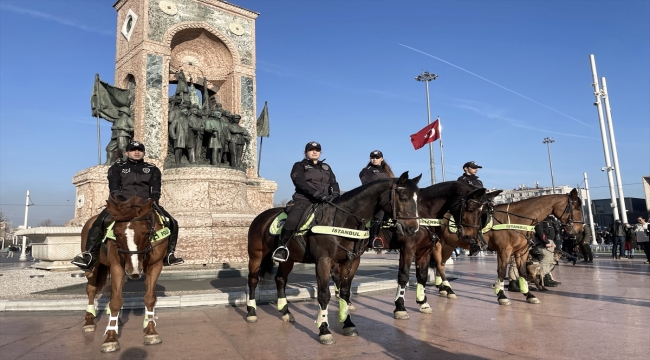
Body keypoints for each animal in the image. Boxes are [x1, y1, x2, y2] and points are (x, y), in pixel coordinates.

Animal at [80, 195, 170, 352]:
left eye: (146, 233)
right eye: (116, 233)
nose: (133, 270)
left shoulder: (155, 266)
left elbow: (149, 298)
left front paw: (150, 331)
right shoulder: (117, 266)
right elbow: (115, 301)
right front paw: (110, 338)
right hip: (94, 266)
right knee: (91, 289)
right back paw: (89, 321)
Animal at [244, 173, 420, 344]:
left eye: (417, 199)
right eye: (403, 197)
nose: (413, 228)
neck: (344, 220)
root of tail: (262, 215)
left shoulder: (351, 261)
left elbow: (345, 293)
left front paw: (348, 323)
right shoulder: (324, 261)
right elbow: (324, 295)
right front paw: (324, 330)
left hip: (289, 259)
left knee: (280, 279)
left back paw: (285, 312)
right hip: (256, 255)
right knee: (252, 280)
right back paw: (251, 312)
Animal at [430, 190, 584, 306]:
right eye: (577, 208)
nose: (579, 229)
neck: (517, 219)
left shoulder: (521, 252)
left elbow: (521, 272)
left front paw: (529, 294)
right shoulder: (505, 250)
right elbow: (502, 272)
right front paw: (502, 296)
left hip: (450, 246)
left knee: (440, 265)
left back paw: (443, 288)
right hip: (440, 245)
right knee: (440, 265)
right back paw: (449, 290)